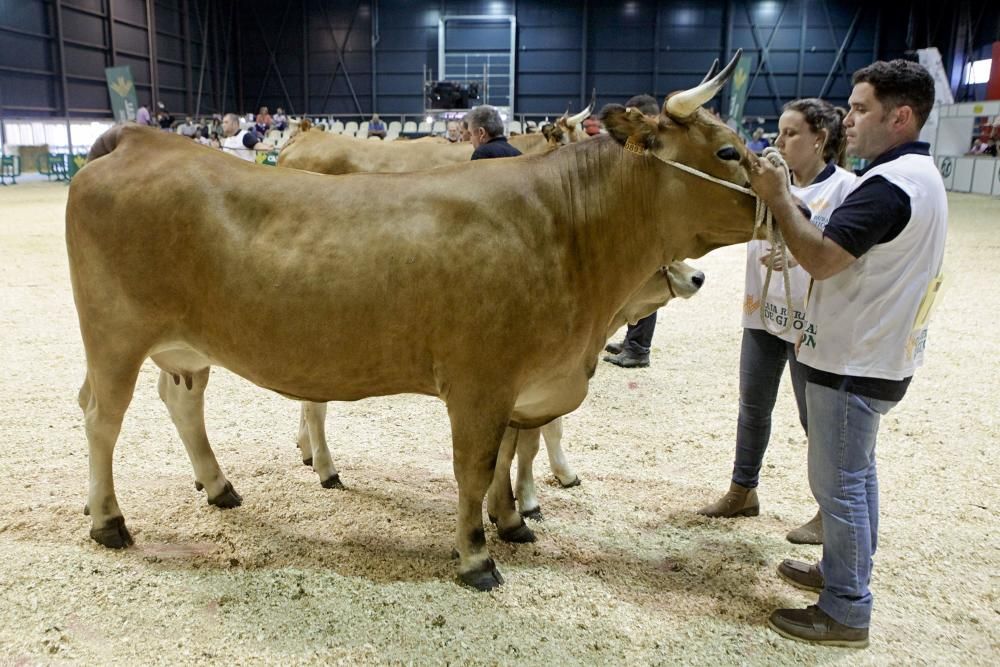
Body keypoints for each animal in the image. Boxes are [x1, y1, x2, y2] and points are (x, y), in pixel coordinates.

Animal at [68, 51, 756, 588]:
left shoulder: (521, 384)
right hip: (114, 335)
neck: (566, 230)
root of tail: (139, 138)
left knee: (182, 401)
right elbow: (475, 467)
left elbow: (507, 460)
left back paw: (218, 487)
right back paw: (109, 521)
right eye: (728, 151)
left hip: (185, 345)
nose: (775, 200)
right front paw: (477, 558)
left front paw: (511, 523)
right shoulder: (480, 382)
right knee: (102, 416)